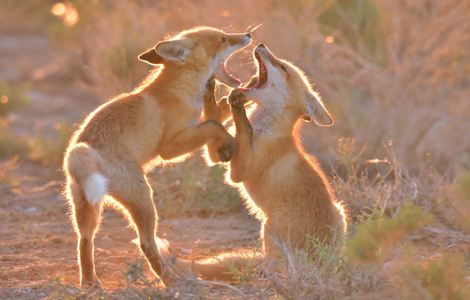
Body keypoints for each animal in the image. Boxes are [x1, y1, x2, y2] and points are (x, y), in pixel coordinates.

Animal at [63, 27, 252, 288]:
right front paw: (228, 145)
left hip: (86, 207)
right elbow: (213, 125)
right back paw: (171, 280)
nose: (247, 35)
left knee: (84, 240)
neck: (179, 90)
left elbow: (218, 114)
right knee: (146, 243)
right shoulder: (170, 147)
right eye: (223, 39)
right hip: (144, 198)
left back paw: (90, 283)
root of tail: (82, 148)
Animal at [162, 43, 348, 280]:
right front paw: (212, 91)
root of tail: (319, 263)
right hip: (340, 213)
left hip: (269, 226)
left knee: (274, 267)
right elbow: (215, 131)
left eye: (283, 67)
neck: (266, 128)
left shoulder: (238, 171)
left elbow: (243, 131)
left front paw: (238, 109)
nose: (261, 45)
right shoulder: (221, 153)